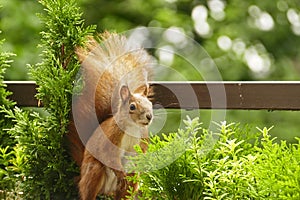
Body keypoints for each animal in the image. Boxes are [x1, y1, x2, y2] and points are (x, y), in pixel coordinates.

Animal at [67, 32, 154, 199]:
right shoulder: (111, 137)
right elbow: (109, 155)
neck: (133, 127)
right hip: (94, 171)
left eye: (150, 104)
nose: (149, 117)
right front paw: (120, 173)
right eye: (132, 107)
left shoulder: (142, 139)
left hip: (130, 183)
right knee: (89, 191)